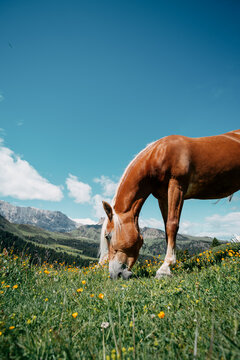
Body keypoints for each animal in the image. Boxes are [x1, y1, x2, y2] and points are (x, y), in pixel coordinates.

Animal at [99, 128, 240, 280]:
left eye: (108, 236)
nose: (115, 274)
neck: (159, 155)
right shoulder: (163, 198)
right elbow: (167, 231)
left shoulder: (176, 186)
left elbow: (172, 225)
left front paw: (165, 268)